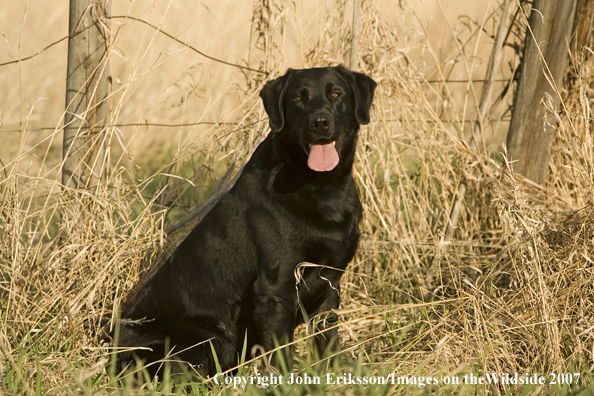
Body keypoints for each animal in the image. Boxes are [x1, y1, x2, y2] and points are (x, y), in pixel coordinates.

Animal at [112, 65, 374, 378]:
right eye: (298, 98)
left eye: (336, 94)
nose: (320, 122)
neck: (321, 187)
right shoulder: (275, 290)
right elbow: (282, 356)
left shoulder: (329, 283)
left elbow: (329, 341)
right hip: (206, 337)